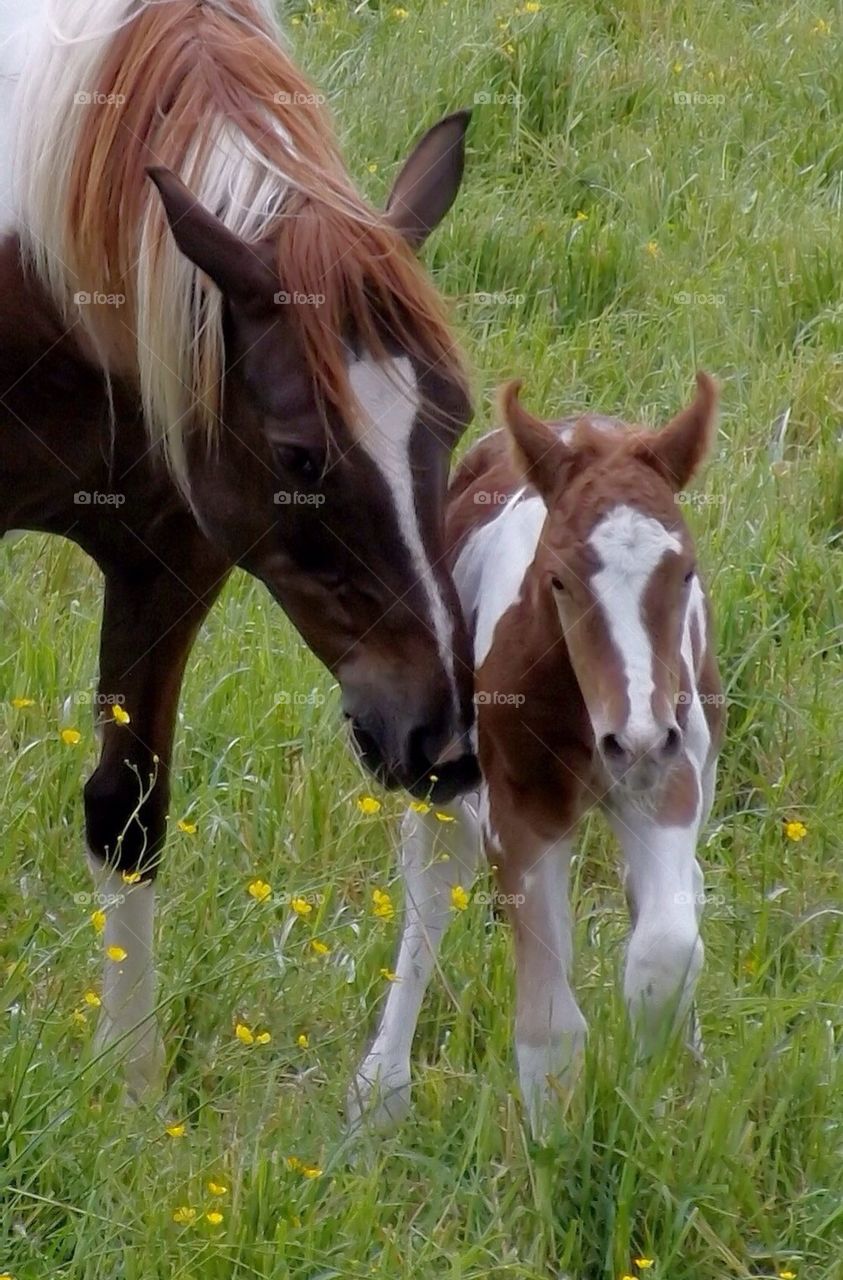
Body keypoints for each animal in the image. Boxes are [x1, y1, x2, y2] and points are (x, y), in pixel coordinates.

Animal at [0, 0, 481, 1098]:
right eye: (302, 452)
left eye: (456, 416)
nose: (436, 738)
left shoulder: (171, 557)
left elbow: (127, 810)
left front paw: (132, 1089)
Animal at [350, 373, 725, 1135]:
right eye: (558, 579)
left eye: (684, 573)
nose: (635, 739)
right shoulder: (520, 812)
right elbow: (550, 1026)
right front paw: (559, 1151)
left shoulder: (668, 783)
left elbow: (664, 954)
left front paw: (654, 1098)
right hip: (440, 770)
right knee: (434, 877)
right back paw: (380, 1091)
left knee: (674, 892)